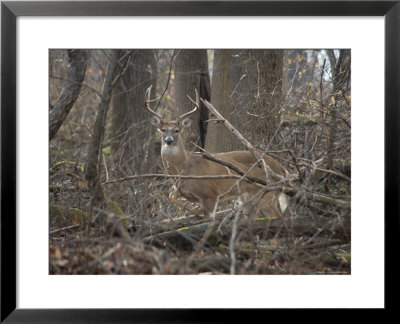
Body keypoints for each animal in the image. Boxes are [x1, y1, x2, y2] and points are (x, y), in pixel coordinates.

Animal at [145, 85, 290, 219]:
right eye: (163, 130)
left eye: (176, 130)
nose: (168, 140)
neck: (183, 167)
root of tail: (283, 169)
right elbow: (171, 195)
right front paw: (195, 208)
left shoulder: (210, 193)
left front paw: (197, 210)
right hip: (249, 199)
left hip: (268, 194)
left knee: (278, 216)